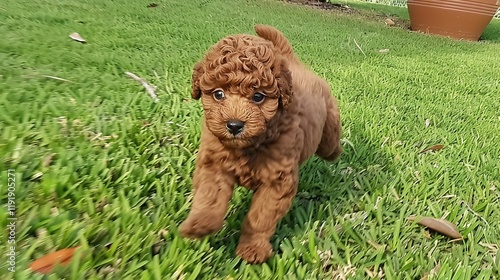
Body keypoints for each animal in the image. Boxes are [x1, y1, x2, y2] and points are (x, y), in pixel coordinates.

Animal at [178, 25, 342, 264]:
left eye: (258, 97)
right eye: (218, 94)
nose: (234, 125)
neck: (251, 145)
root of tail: (295, 63)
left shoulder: (277, 182)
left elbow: (260, 218)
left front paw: (253, 249)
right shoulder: (214, 165)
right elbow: (210, 197)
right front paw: (199, 225)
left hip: (328, 123)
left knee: (330, 140)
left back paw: (336, 152)